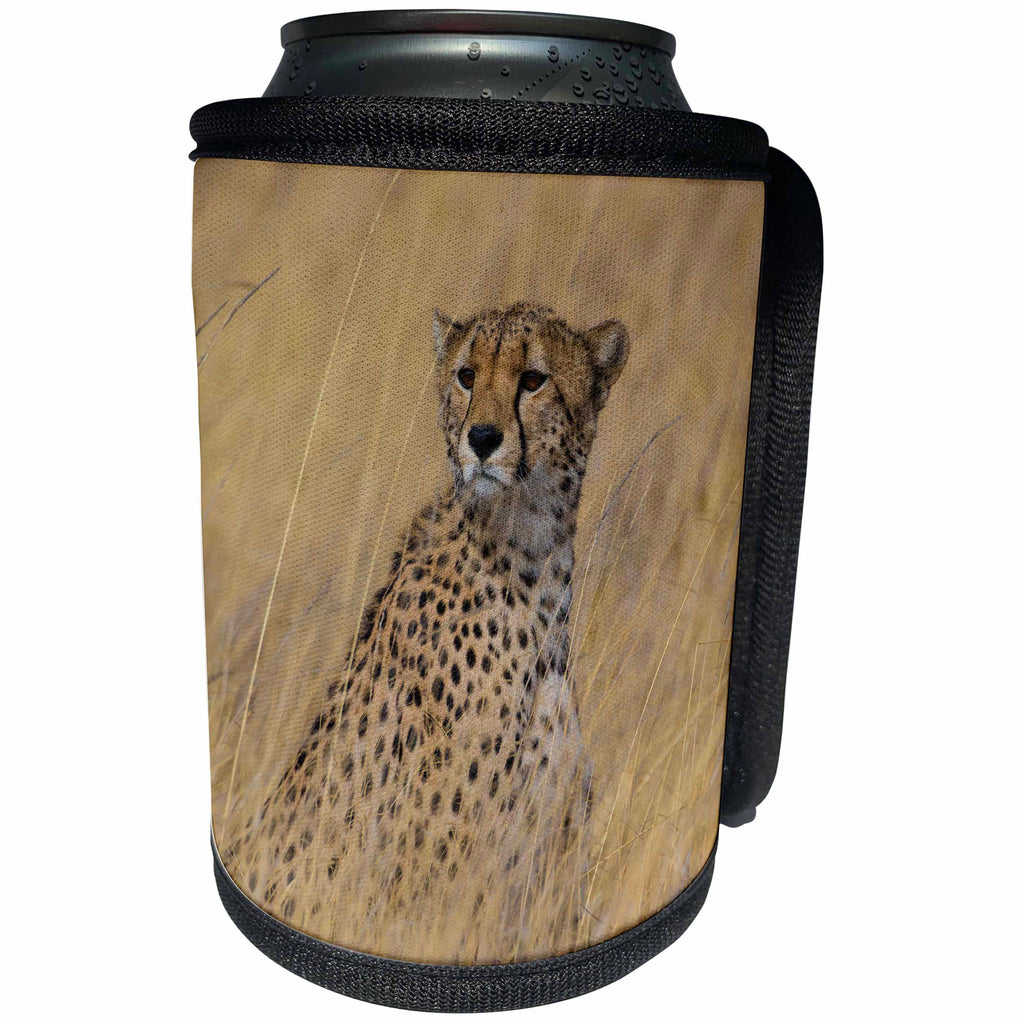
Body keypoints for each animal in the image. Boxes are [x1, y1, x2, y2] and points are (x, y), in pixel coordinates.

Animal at [222, 302, 630, 961]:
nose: (482, 439)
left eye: (533, 379)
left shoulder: (544, 885)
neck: (533, 563)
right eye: (466, 375)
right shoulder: (439, 889)